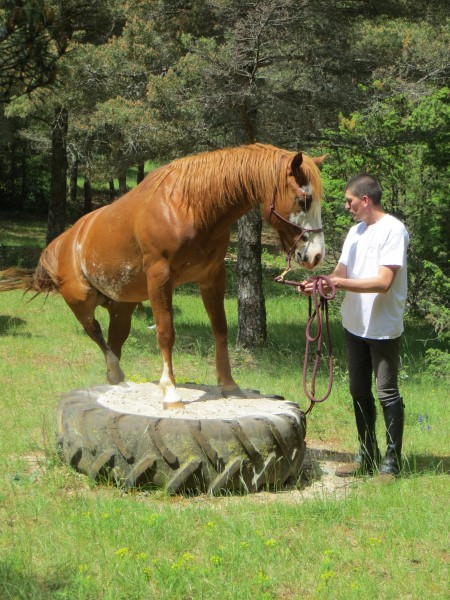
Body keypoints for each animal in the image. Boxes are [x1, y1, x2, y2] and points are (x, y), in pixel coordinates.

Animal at [0, 143, 326, 410]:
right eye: (303, 200)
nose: (316, 256)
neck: (189, 206)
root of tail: (63, 243)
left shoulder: (212, 277)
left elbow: (220, 329)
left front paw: (229, 385)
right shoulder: (160, 279)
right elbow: (166, 333)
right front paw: (170, 392)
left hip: (122, 308)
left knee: (115, 339)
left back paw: (116, 379)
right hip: (82, 301)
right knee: (95, 332)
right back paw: (116, 371)